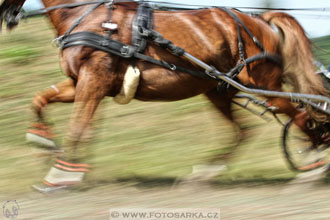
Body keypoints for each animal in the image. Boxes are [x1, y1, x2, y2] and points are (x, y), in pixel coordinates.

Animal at [0, 0, 324, 189]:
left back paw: (313, 165)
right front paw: (42, 141)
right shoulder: (79, 83)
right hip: (217, 89)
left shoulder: (93, 82)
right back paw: (204, 172)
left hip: (262, 85)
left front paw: (61, 174)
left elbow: (79, 126)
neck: (87, 16)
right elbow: (40, 99)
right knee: (241, 131)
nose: (7, 15)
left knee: (302, 115)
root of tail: (261, 20)